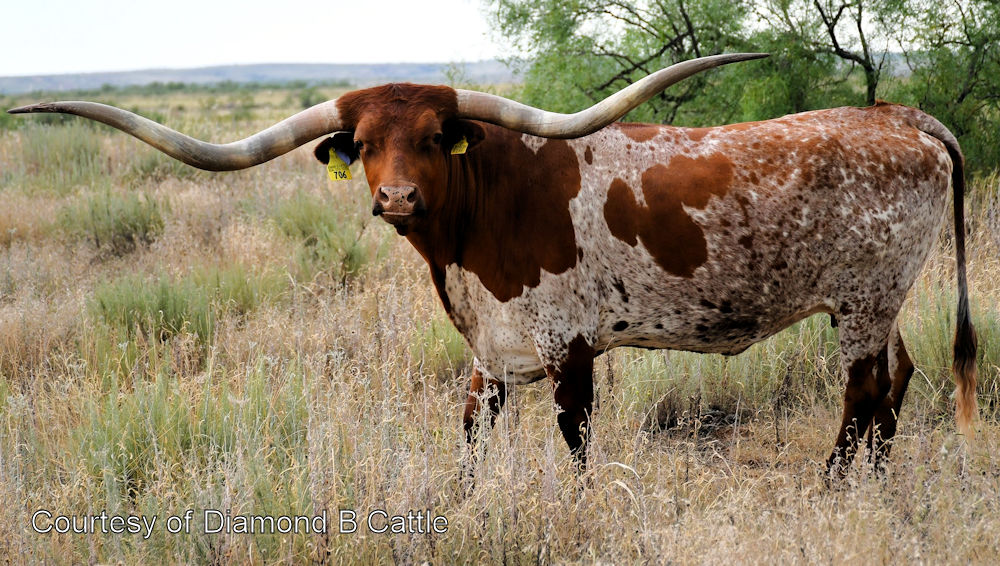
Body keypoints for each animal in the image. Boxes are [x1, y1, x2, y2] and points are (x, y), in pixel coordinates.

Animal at [9, 53, 978, 477]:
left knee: (862, 391)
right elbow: (469, 440)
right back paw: (877, 481)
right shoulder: (491, 354)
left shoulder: (570, 346)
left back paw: (835, 479)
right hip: (883, 301)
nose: (398, 199)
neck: (480, 216)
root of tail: (903, 117)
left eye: (435, 135)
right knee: (900, 377)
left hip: (861, 299)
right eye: (363, 144)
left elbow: (576, 442)